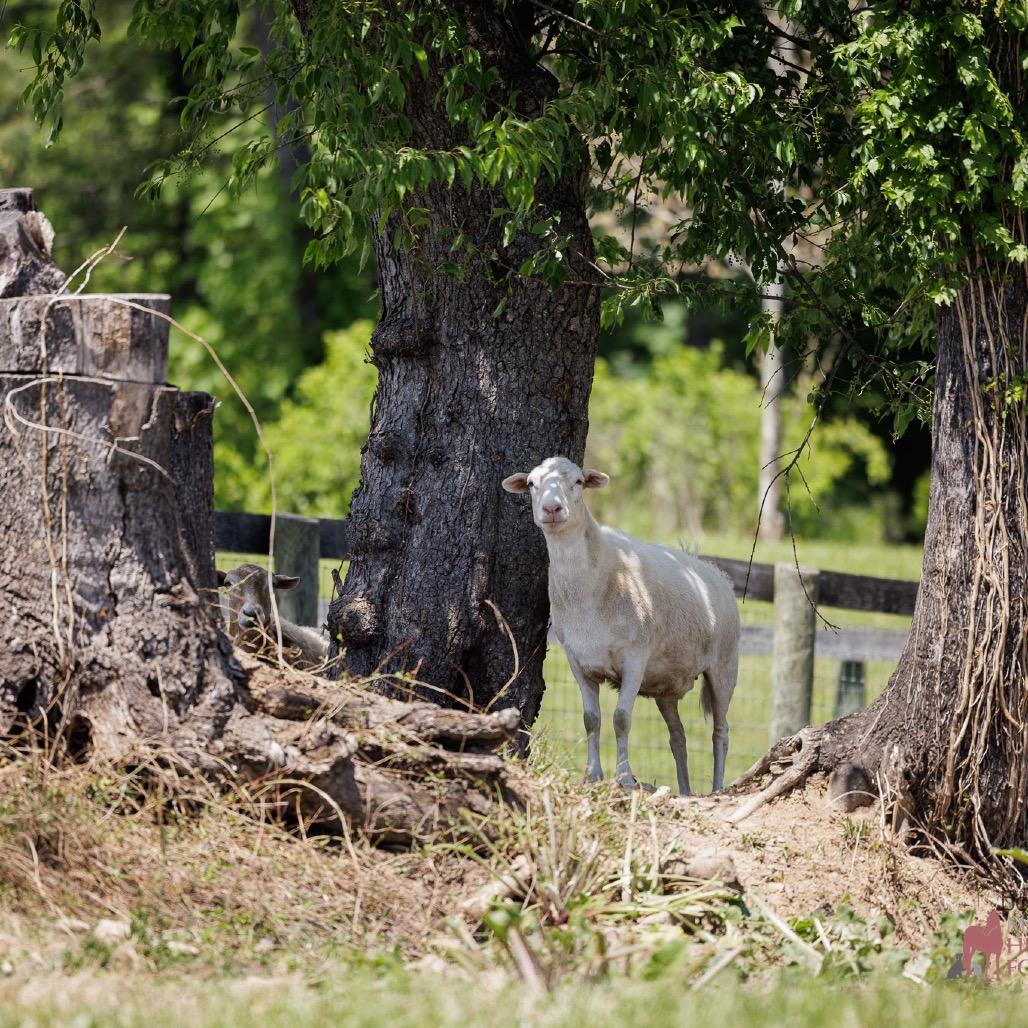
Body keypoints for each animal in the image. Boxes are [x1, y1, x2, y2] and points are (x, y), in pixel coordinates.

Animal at [503, 456, 740, 794]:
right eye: (532, 484)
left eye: (578, 482)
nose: (552, 509)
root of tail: (713, 570)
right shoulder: (578, 658)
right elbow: (591, 718)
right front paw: (592, 775)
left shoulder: (635, 656)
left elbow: (621, 718)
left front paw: (625, 777)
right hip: (667, 684)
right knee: (678, 737)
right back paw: (684, 790)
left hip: (724, 666)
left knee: (720, 732)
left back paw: (717, 788)